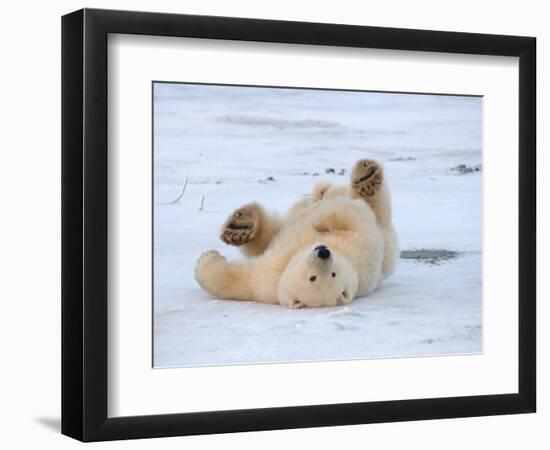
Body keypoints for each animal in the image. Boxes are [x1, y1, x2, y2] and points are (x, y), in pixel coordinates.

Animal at [196, 159, 398, 310]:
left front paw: (205, 259)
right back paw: (241, 226)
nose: (323, 252)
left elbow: (352, 216)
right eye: (313, 277)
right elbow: (241, 281)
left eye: (332, 274)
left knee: (375, 205)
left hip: (385, 232)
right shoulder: (269, 277)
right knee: (271, 231)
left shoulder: (361, 249)